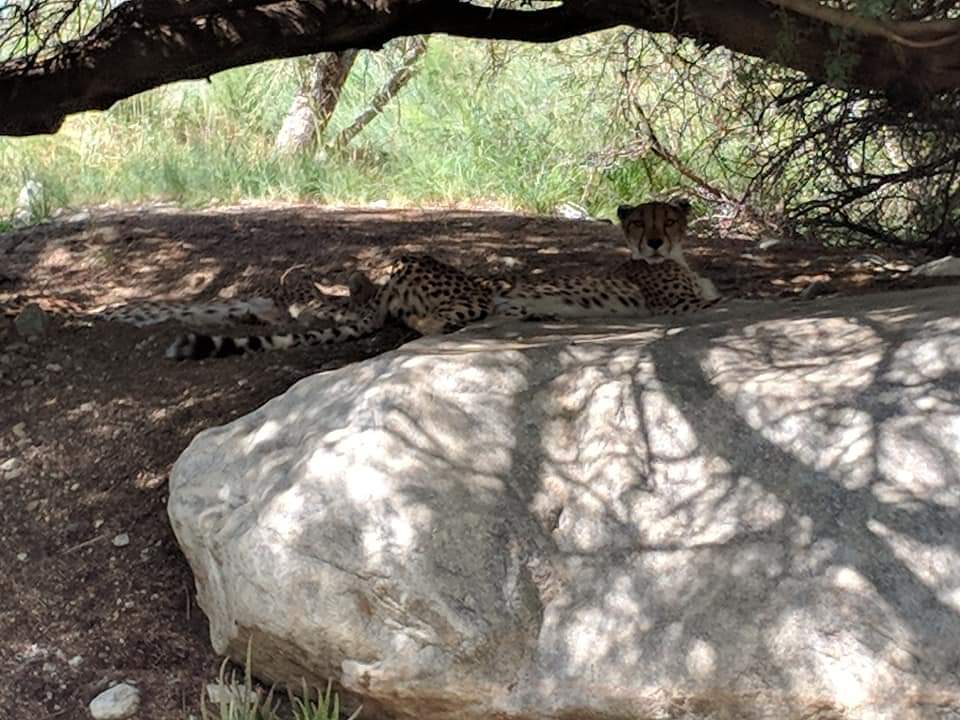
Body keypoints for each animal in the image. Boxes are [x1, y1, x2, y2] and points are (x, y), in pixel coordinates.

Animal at [165, 198, 722, 360]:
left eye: (668, 220)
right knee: (428, 322)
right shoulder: (678, 306)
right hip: (470, 297)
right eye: (641, 223)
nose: (655, 243)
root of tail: (397, 266)